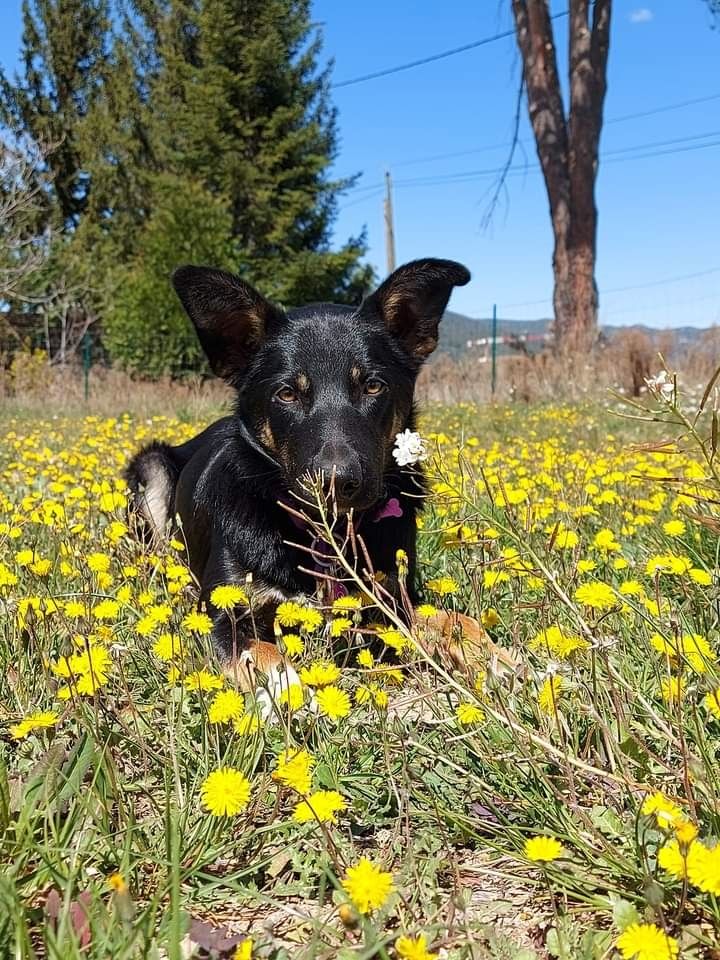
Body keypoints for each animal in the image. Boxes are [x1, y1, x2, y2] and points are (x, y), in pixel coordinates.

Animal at [126, 258, 470, 672]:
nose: (336, 483)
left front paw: (502, 658)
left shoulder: (396, 598)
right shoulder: (221, 617)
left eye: (372, 386)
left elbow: (456, 620)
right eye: (287, 393)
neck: (326, 536)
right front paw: (289, 686)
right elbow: (270, 657)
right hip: (152, 468)